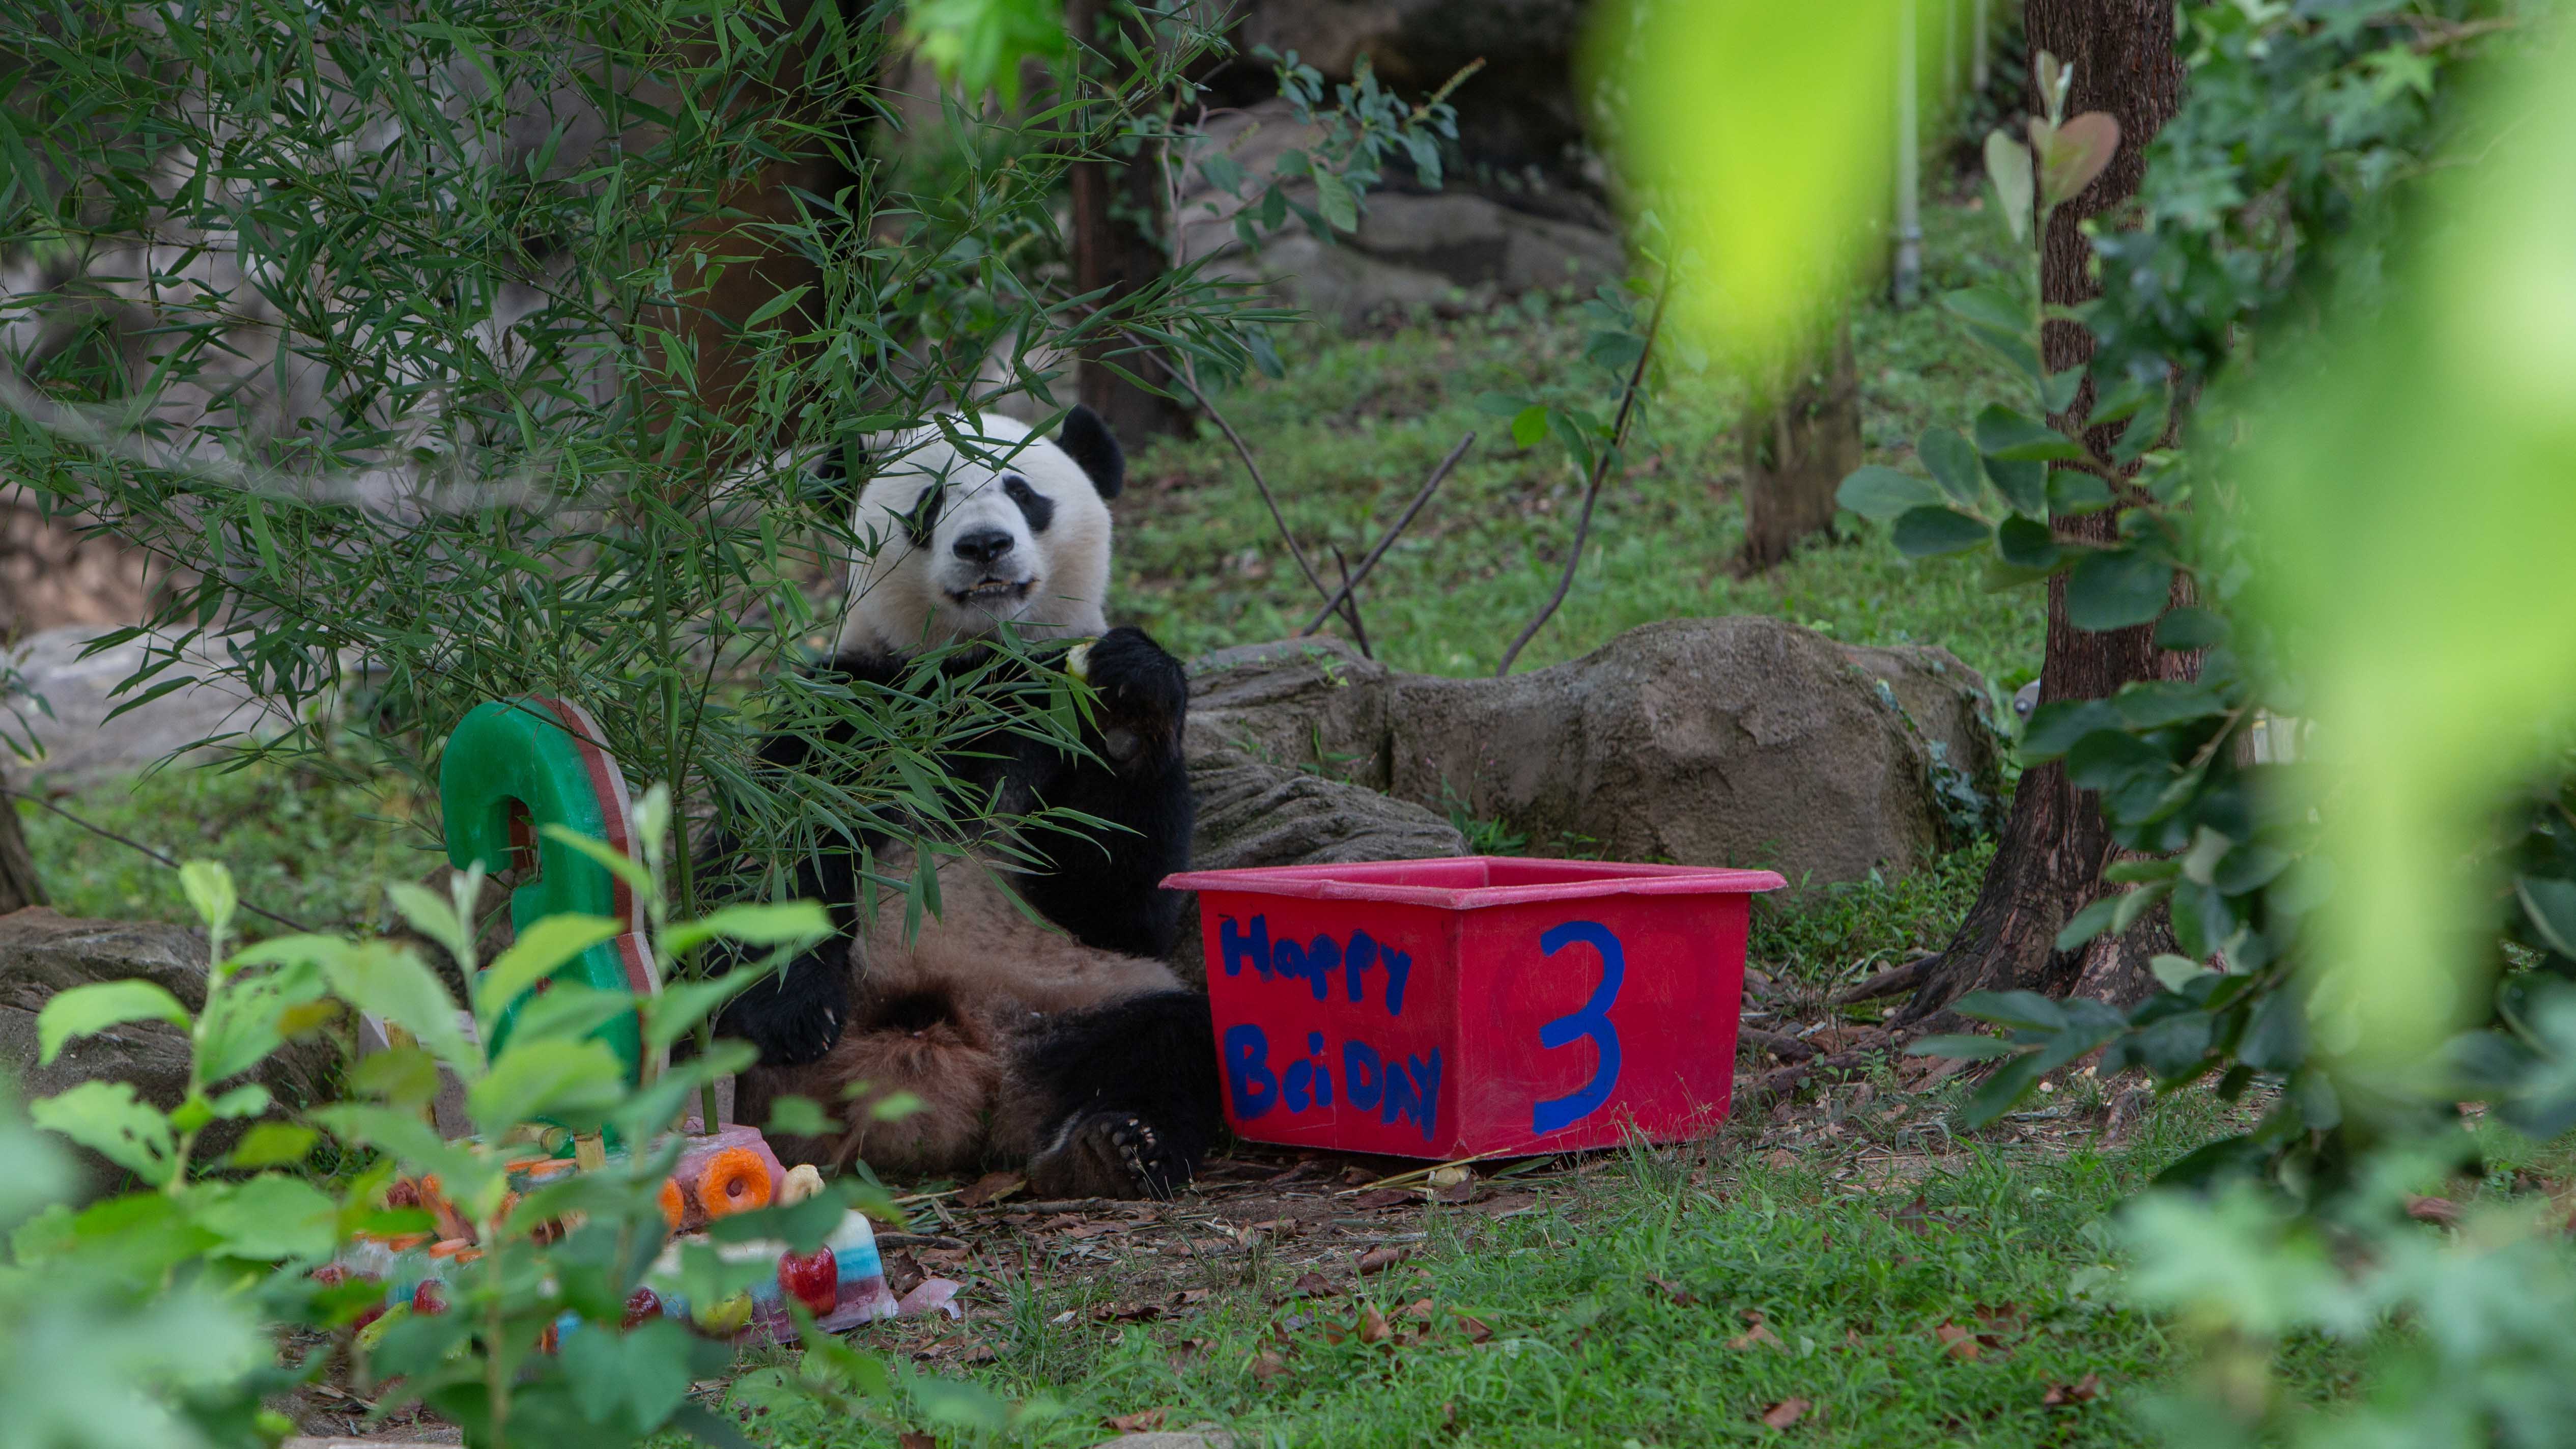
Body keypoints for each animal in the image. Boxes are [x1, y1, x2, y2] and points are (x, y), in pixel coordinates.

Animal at [716, 407, 1215, 1196]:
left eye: (1024, 493)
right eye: (930, 505)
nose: (985, 545)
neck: (973, 668)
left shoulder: (1051, 715)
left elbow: (1122, 907)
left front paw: (1134, 700)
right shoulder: (848, 708)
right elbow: (772, 856)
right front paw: (796, 1013)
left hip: (1076, 992)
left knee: (1172, 1036)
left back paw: (1120, 1146)